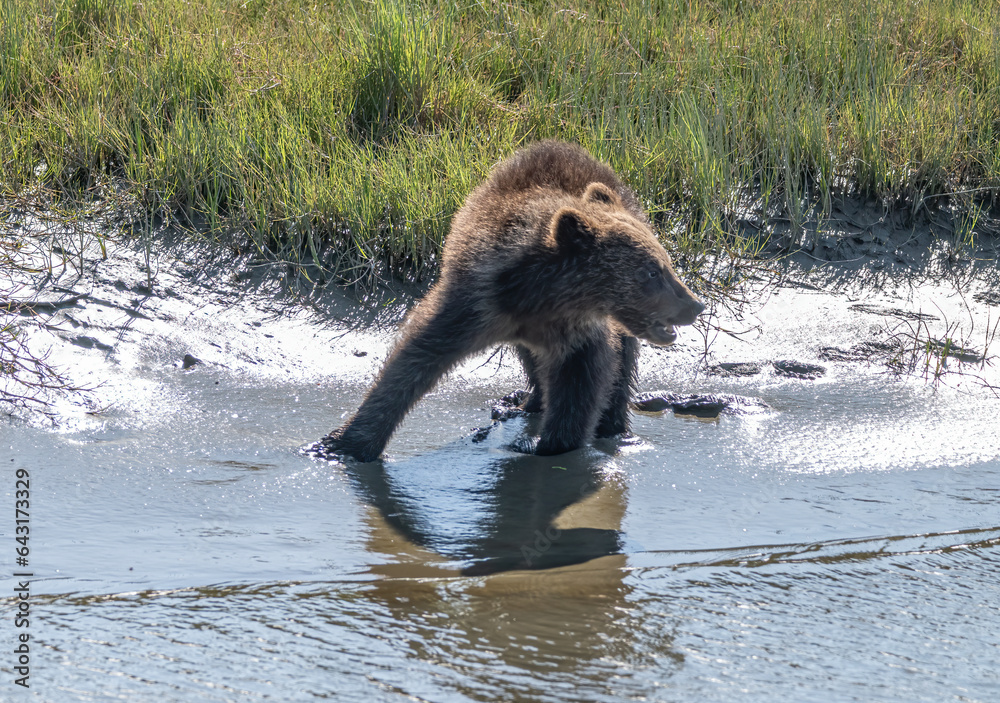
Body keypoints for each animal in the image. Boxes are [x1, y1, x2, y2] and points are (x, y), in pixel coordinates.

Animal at [324, 142, 708, 462]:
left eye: (665, 263)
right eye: (652, 271)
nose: (694, 305)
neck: (540, 299)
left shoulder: (581, 333)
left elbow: (584, 381)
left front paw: (550, 444)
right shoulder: (478, 302)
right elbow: (416, 356)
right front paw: (344, 442)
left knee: (622, 362)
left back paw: (613, 425)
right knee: (531, 360)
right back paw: (531, 402)